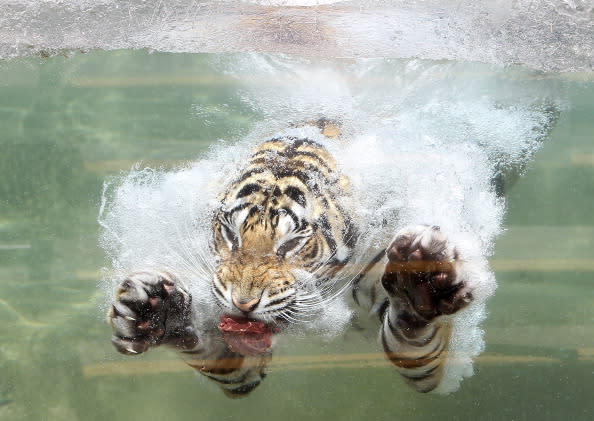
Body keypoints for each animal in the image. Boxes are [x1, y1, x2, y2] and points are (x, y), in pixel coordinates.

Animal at [104, 118, 540, 398]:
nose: (243, 304)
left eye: (294, 243)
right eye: (230, 234)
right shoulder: (239, 364)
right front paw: (156, 310)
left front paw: (420, 285)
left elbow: (413, 341)